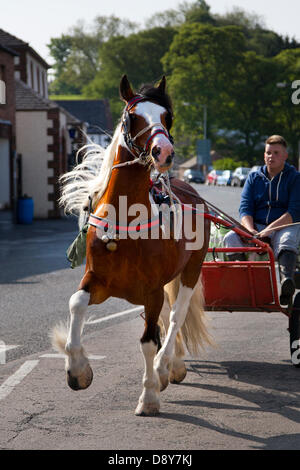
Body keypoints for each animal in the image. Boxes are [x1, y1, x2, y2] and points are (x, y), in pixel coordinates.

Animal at [52, 74, 211, 414]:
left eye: (167, 117)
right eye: (133, 116)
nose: (164, 151)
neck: (124, 217)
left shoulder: (151, 290)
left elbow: (149, 342)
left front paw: (149, 395)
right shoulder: (98, 280)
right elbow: (76, 304)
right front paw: (78, 370)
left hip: (191, 269)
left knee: (176, 316)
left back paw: (165, 367)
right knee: (168, 317)